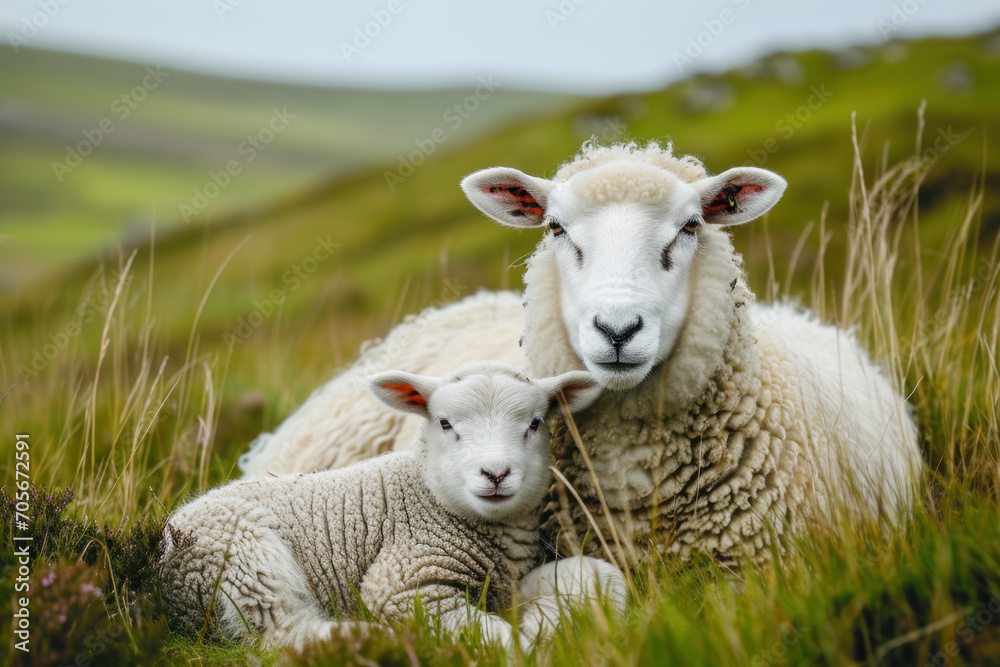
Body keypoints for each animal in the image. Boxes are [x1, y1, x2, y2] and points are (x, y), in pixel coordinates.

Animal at [159, 362, 610, 650]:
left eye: (535, 423)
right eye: (445, 423)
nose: (496, 473)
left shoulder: (504, 585)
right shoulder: (402, 582)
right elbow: (497, 637)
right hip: (243, 559)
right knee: (283, 632)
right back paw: (372, 638)